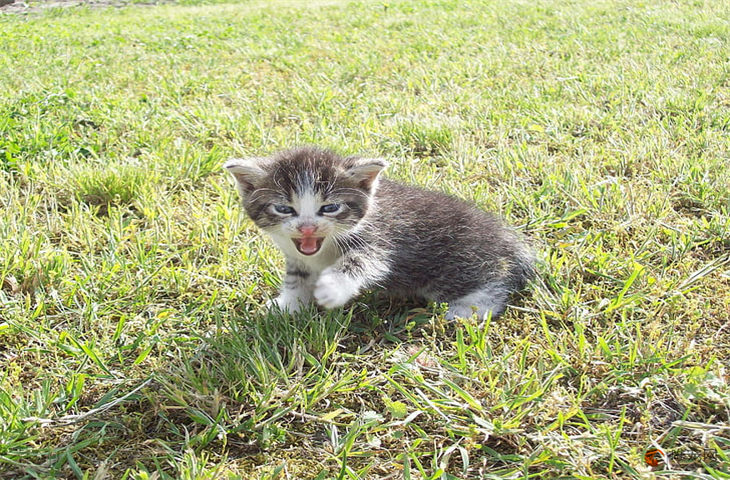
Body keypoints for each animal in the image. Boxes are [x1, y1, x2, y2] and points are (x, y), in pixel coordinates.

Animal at [219, 146, 532, 318]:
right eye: (284, 209)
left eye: (330, 207)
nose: (308, 227)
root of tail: (505, 237)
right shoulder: (297, 257)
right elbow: (296, 280)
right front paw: (288, 306)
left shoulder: (379, 238)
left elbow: (361, 262)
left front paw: (332, 288)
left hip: (456, 263)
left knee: (494, 281)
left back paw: (470, 310)